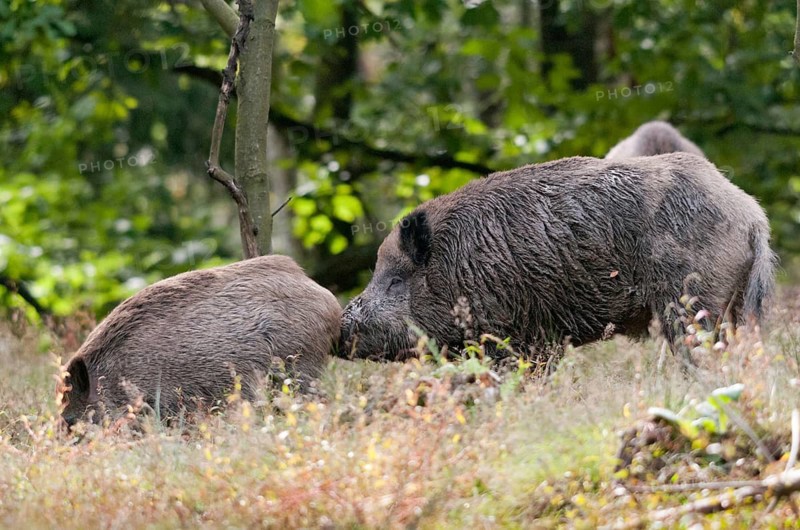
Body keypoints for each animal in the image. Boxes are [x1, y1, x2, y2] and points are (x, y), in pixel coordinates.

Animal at [339, 154, 775, 361]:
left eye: (396, 280)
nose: (340, 328)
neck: (451, 266)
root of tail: (752, 215)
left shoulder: (505, 333)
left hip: (690, 300)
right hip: (735, 302)